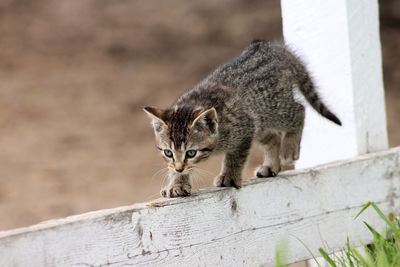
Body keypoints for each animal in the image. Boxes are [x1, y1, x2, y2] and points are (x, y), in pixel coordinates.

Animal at [144, 40, 340, 199]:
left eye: (191, 153)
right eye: (168, 152)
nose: (179, 167)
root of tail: (276, 48)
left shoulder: (244, 130)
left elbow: (235, 157)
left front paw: (229, 177)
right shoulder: (250, 127)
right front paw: (176, 183)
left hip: (274, 109)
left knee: (299, 110)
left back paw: (289, 148)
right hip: (261, 123)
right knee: (274, 137)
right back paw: (270, 166)